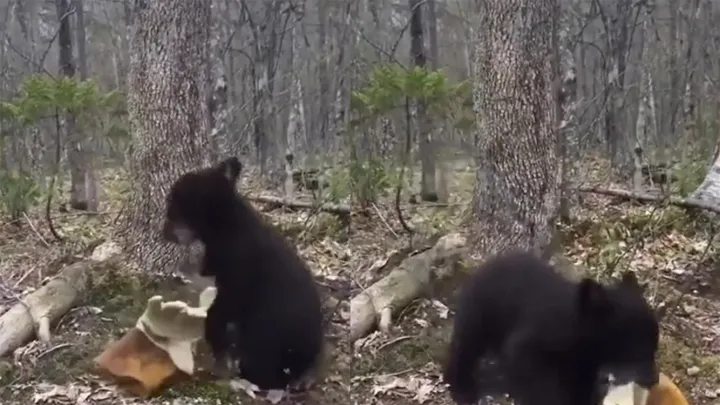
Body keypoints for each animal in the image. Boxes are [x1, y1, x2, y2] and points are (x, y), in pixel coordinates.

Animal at [443, 250, 659, 405]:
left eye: (654, 346)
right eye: (636, 348)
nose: (654, 380)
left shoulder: (583, 364)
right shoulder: (532, 345)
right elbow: (539, 383)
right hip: (479, 315)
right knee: (465, 347)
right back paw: (462, 388)